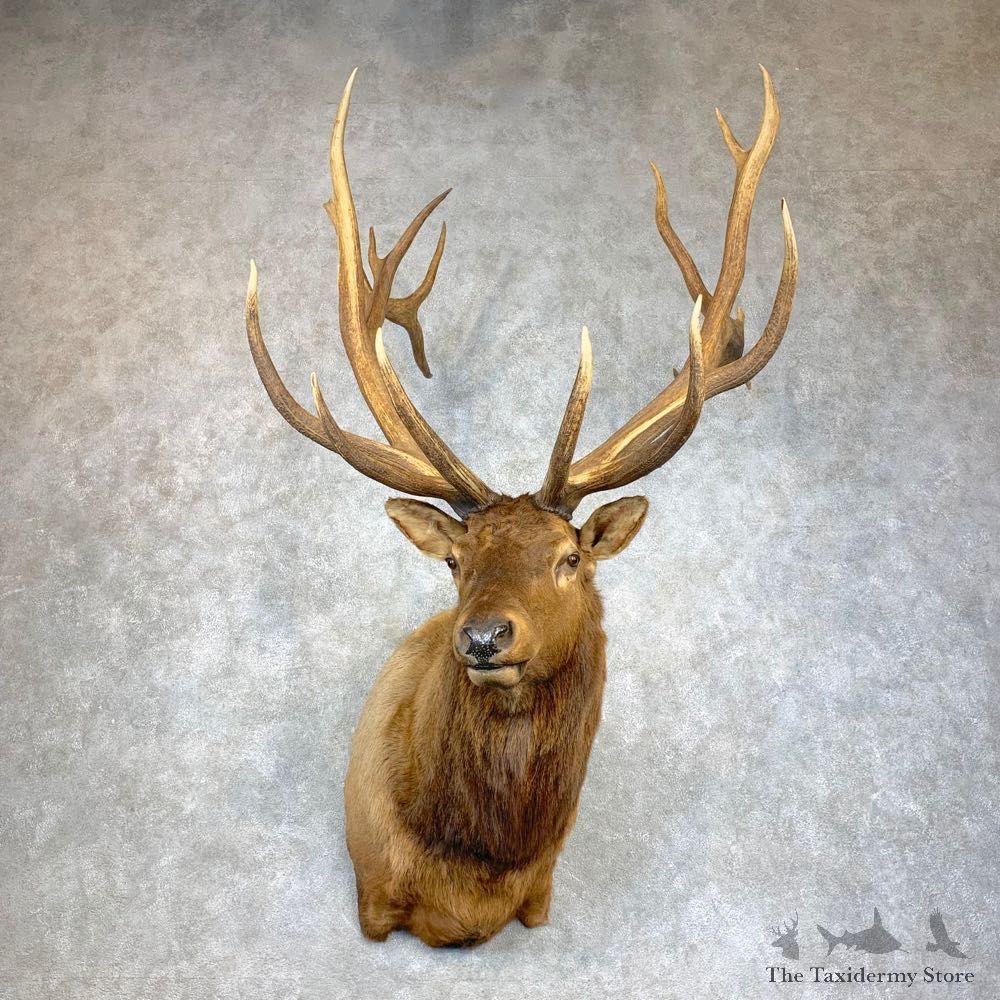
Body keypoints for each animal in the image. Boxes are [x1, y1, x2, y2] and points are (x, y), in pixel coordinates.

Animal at [245, 66, 797, 948]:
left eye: (570, 558)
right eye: (454, 559)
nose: (483, 636)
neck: (475, 875)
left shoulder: (540, 897)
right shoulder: (372, 899)